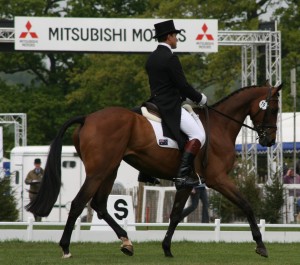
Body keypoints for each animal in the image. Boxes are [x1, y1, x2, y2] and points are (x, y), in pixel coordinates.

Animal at [25, 81, 282, 256]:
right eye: (274, 109)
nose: (269, 141)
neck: (220, 126)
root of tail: (87, 117)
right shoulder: (218, 179)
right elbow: (246, 204)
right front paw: (260, 245)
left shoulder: (187, 182)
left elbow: (176, 214)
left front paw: (166, 248)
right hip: (99, 171)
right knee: (79, 203)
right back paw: (66, 247)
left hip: (110, 169)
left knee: (99, 205)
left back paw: (126, 242)